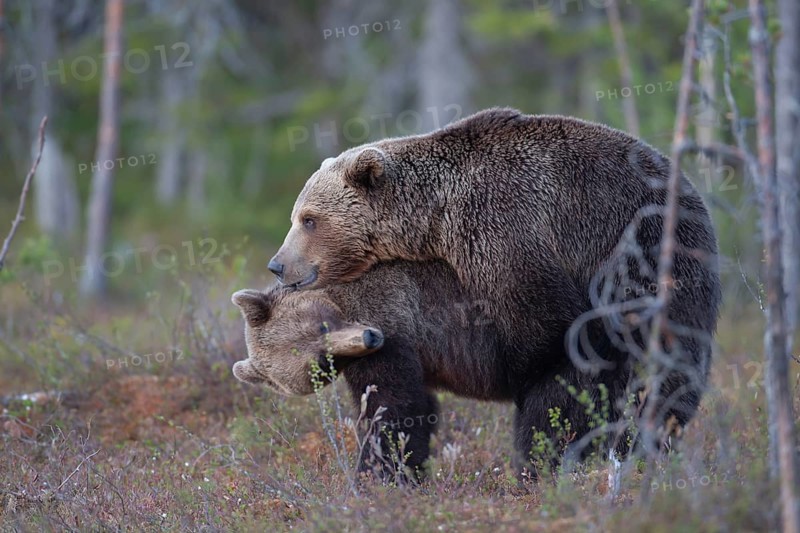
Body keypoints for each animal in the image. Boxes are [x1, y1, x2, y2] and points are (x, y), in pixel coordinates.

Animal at [265, 107, 721, 466]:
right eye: (297, 215)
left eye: (309, 219)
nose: (277, 265)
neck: (434, 216)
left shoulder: (503, 228)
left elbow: (545, 329)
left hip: (644, 255)